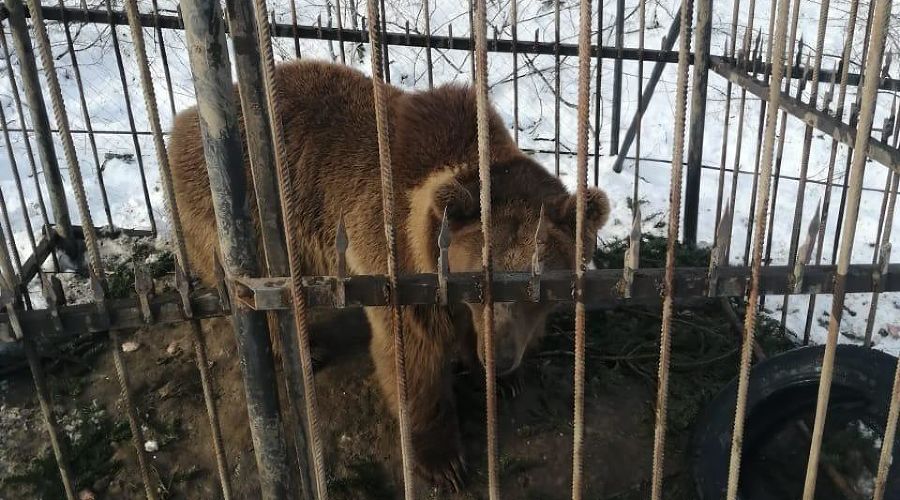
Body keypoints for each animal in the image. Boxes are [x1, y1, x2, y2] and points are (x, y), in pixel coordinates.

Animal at [166, 59, 610, 490]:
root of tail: (183, 123)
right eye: (479, 284)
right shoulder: (398, 263)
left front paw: (502, 379)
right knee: (263, 292)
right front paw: (444, 462)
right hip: (246, 218)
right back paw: (304, 347)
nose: (500, 357)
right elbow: (414, 359)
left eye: (538, 290)